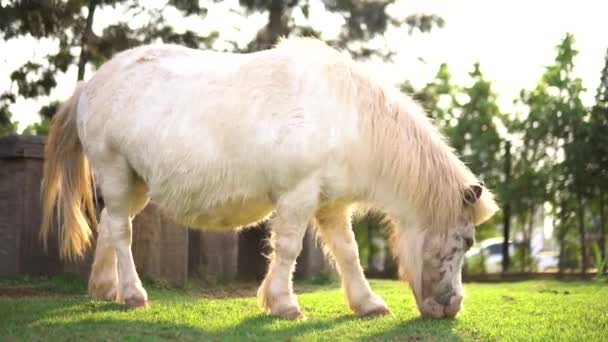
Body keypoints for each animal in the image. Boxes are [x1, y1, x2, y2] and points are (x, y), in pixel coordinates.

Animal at [41, 36, 498, 318]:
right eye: (466, 241)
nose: (451, 307)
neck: (347, 117)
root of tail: (90, 85)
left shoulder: (331, 205)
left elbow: (347, 252)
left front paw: (367, 303)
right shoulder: (298, 196)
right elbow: (290, 248)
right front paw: (283, 303)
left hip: (135, 183)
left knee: (110, 225)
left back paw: (105, 289)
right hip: (115, 169)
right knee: (121, 232)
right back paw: (133, 294)